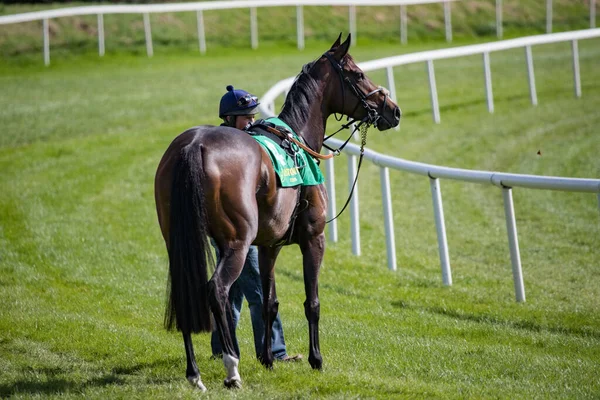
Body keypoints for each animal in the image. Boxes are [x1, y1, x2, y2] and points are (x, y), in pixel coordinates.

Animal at [154, 34, 398, 390]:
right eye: (357, 73)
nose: (392, 109)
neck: (296, 138)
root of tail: (194, 145)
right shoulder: (313, 239)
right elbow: (312, 303)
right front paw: (315, 359)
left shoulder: (269, 246)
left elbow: (269, 302)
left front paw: (268, 359)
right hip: (236, 244)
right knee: (217, 290)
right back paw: (232, 367)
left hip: (179, 241)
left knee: (188, 290)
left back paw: (194, 372)